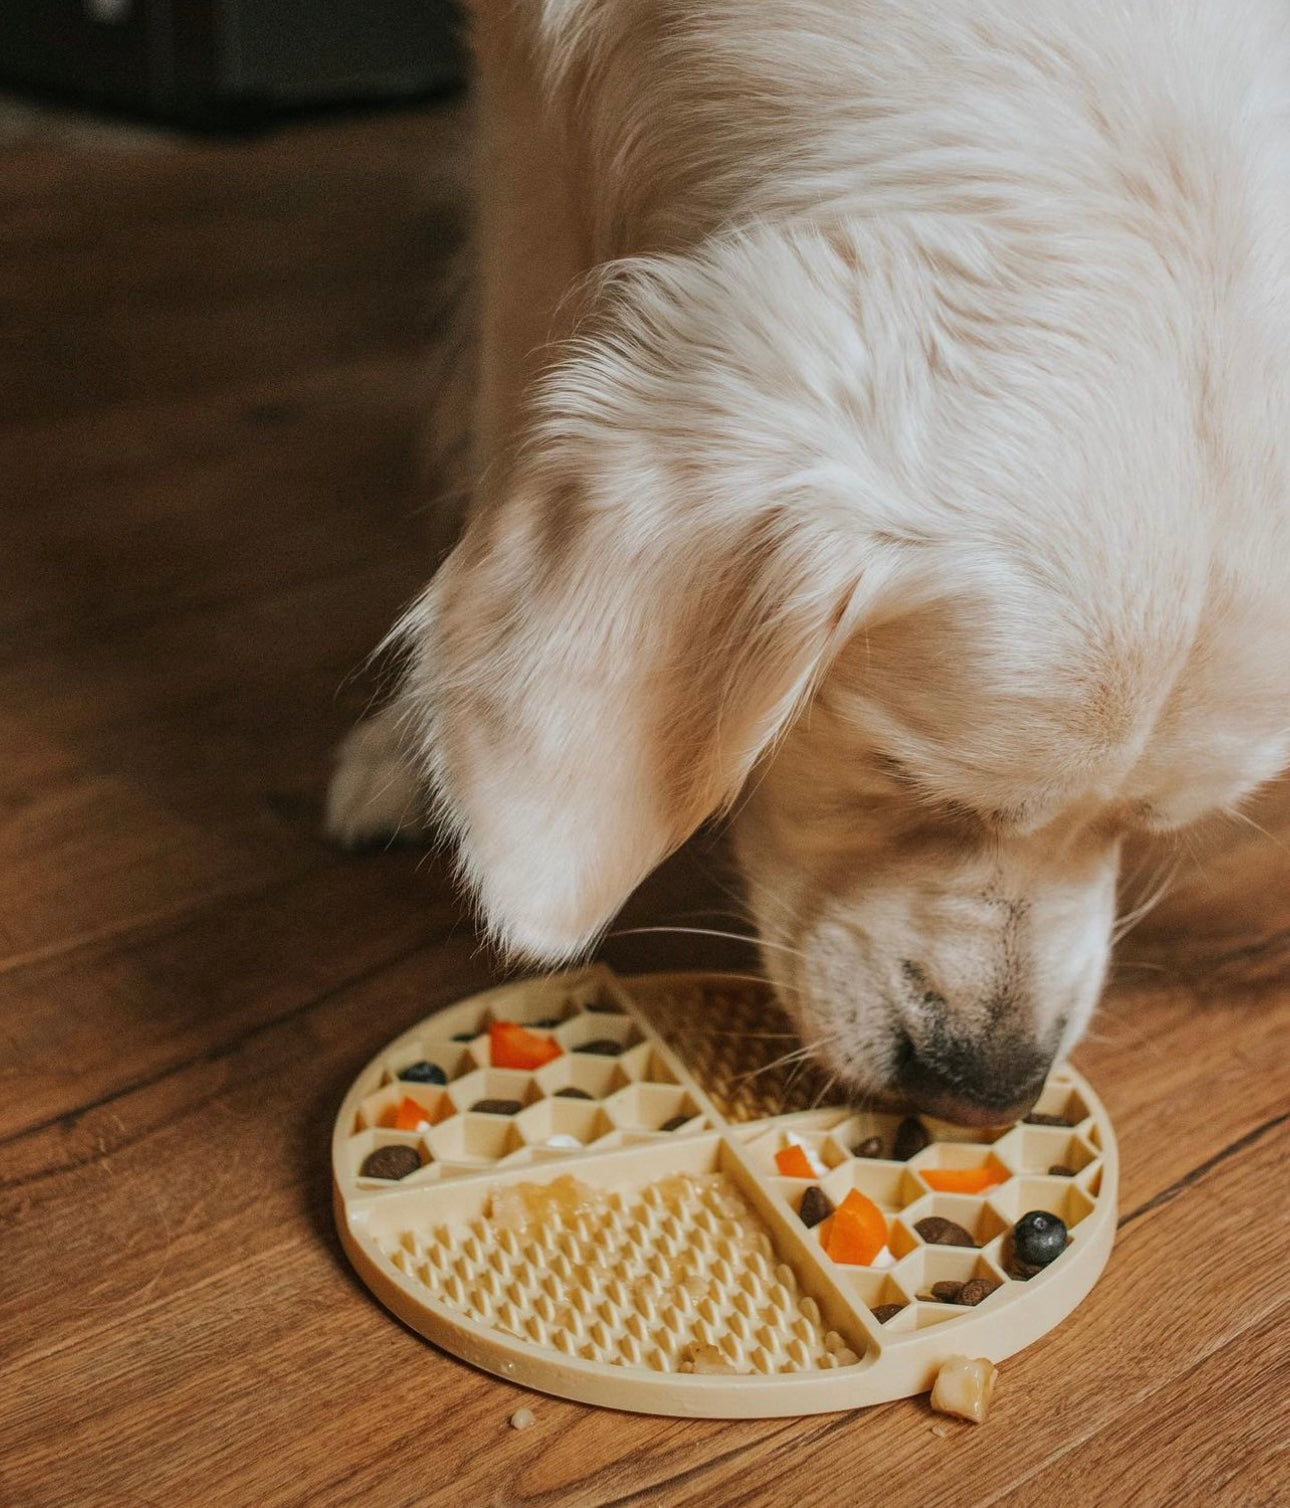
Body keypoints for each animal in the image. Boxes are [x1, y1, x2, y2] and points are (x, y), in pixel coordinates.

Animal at [327, 0, 1290, 1127]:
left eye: (1149, 825)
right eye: (899, 775)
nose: (988, 1090)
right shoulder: (521, 93)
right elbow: (510, 361)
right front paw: (411, 746)